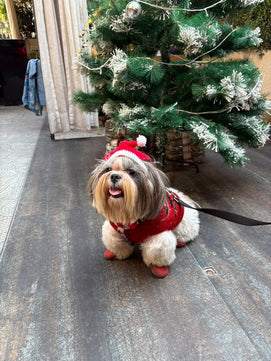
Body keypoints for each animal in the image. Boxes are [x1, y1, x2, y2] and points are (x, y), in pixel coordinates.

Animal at [88, 135, 200, 278]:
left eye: (131, 172)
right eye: (108, 170)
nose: (114, 176)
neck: (131, 220)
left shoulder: (158, 235)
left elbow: (156, 250)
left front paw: (158, 267)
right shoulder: (114, 229)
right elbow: (114, 241)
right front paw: (115, 253)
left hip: (184, 227)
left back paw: (180, 242)